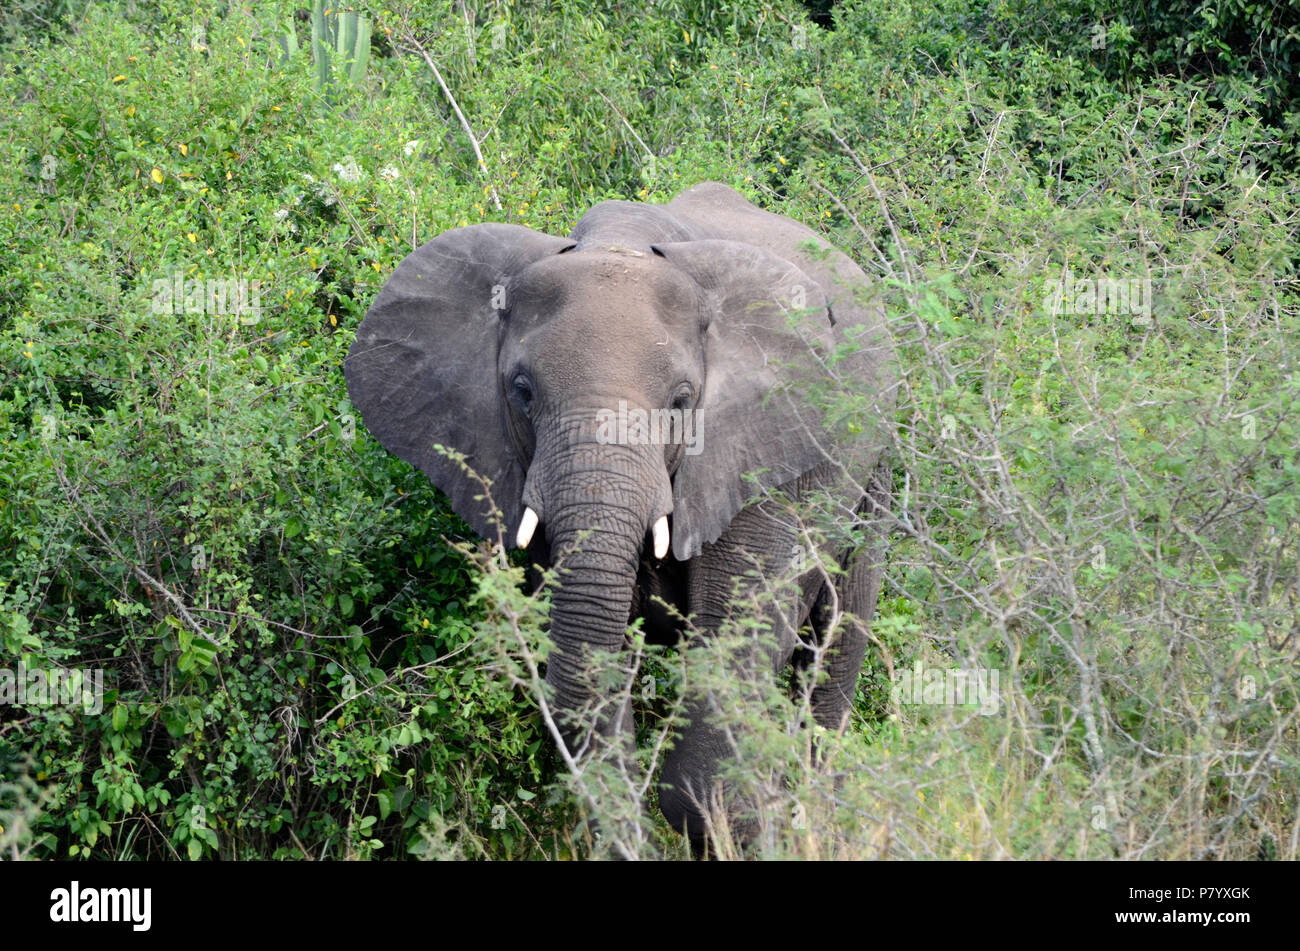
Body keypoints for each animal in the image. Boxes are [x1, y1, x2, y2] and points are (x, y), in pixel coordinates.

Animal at [343, 181, 894, 852]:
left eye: (682, 401)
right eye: (522, 391)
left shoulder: (762, 445)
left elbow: (735, 631)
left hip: (881, 459)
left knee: (840, 627)